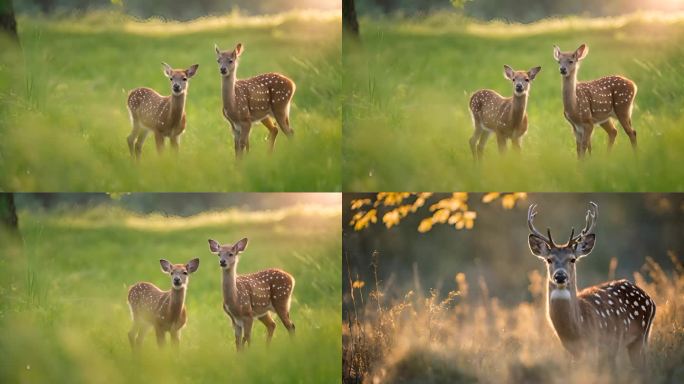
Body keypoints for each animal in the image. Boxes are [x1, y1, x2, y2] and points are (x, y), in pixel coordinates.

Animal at [528, 204, 656, 368]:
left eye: (573, 259)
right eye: (549, 259)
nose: (560, 276)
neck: (578, 329)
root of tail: (651, 300)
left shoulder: (600, 345)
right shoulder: (574, 353)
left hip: (639, 337)